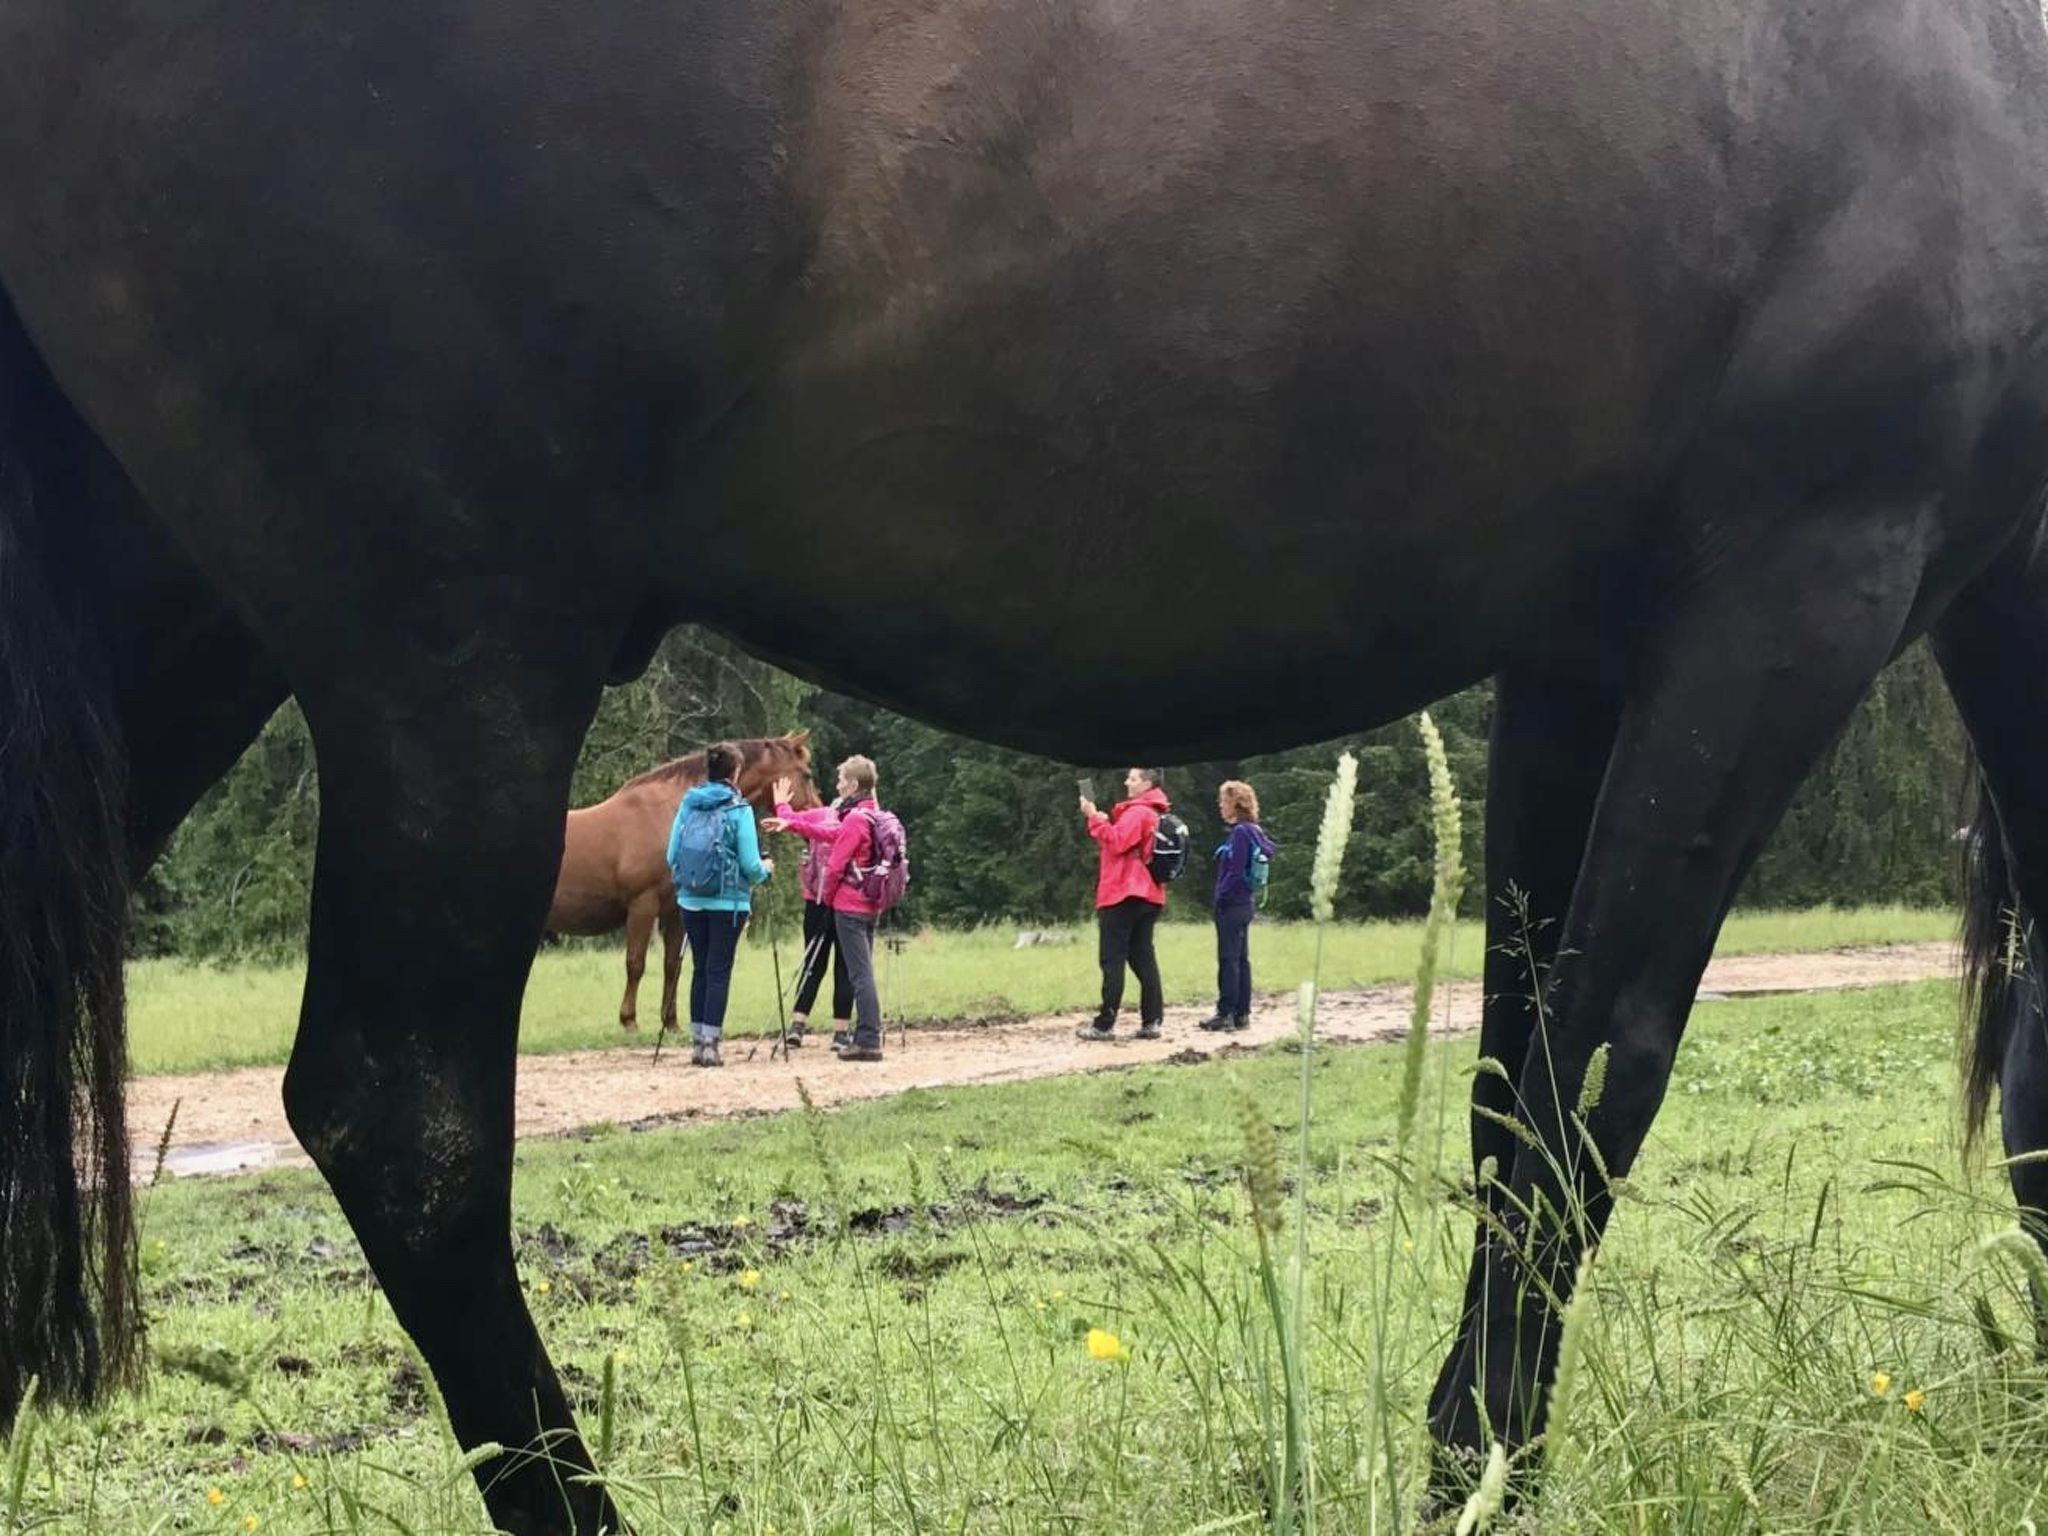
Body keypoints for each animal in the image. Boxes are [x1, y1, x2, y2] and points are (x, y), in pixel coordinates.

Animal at [548, 734, 819, 1032]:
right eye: (806, 775)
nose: (820, 813)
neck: (670, 814)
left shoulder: (677, 911)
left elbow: (672, 965)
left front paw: (671, 1023)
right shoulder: (643, 906)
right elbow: (635, 963)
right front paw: (629, 1021)